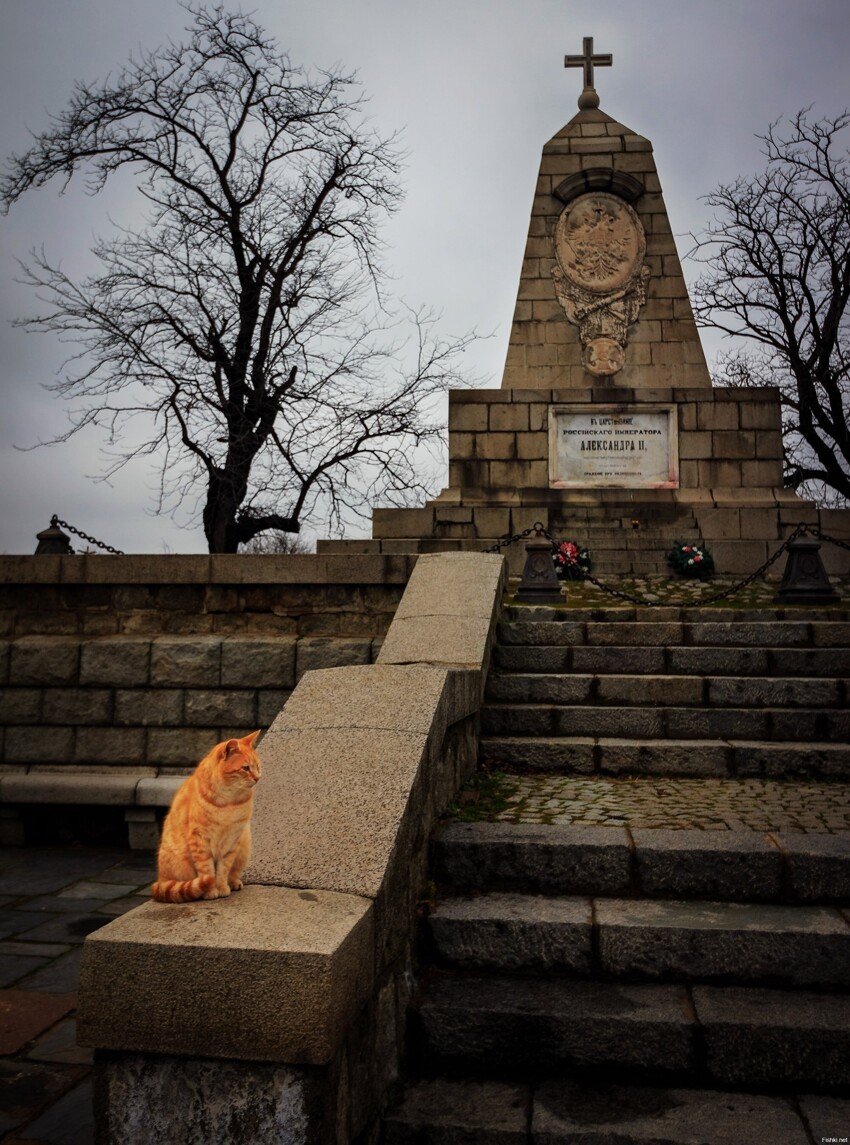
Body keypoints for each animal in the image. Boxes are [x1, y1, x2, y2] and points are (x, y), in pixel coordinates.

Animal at [151, 732, 261, 902]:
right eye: (246, 768)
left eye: (257, 766)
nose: (257, 778)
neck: (228, 802)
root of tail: (160, 880)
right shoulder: (200, 840)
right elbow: (207, 871)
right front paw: (210, 890)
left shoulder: (232, 840)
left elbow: (223, 870)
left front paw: (221, 887)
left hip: (244, 846)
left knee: (234, 872)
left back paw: (234, 883)